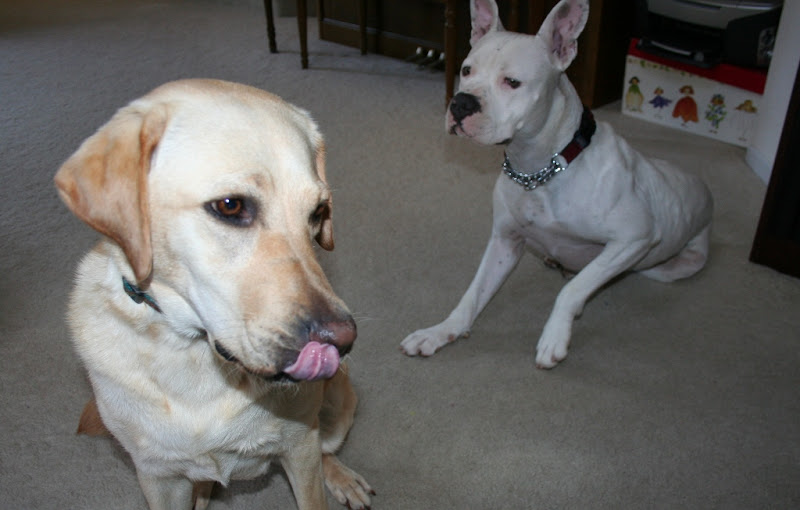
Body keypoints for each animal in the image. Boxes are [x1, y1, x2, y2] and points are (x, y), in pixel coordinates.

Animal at [54, 79, 374, 510]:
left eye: (318, 213)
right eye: (230, 206)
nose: (341, 341)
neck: (195, 357)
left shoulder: (300, 447)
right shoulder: (158, 476)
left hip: (339, 402)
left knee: (327, 451)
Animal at [400, 0, 712, 366]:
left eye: (512, 82)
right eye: (466, 71)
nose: (461, 103)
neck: (542, 169)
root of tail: (703, 189)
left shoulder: (634, 236)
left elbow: (571, 290)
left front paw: (554, 336)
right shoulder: (504, 242)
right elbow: (472, 296)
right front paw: (440, 332)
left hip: (668, 264)